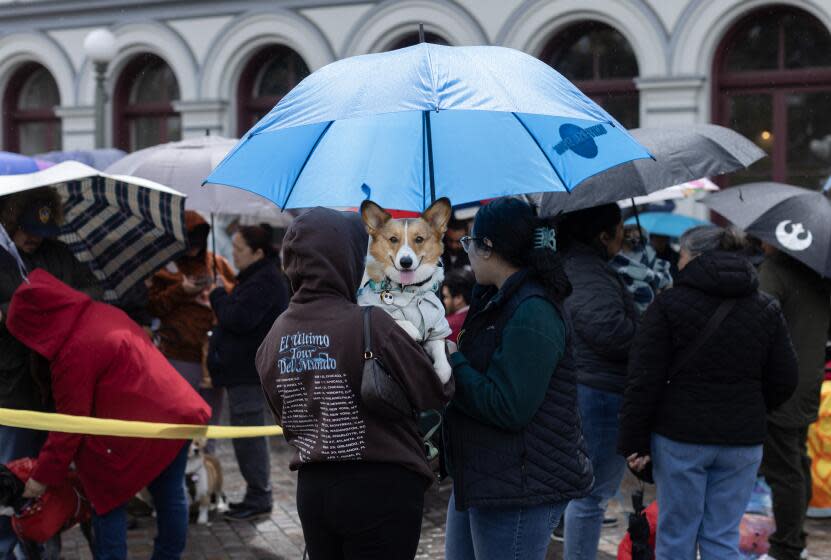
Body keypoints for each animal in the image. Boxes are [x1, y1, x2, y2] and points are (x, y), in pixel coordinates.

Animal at [360, 198, 456, 384]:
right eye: (393, 239)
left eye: (419, 239)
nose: (405, 262)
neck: (411, 291)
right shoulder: (364, 305)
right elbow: (393, 317)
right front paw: (413, 331)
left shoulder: (436, 328)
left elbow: (442, 359)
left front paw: (441, 374)